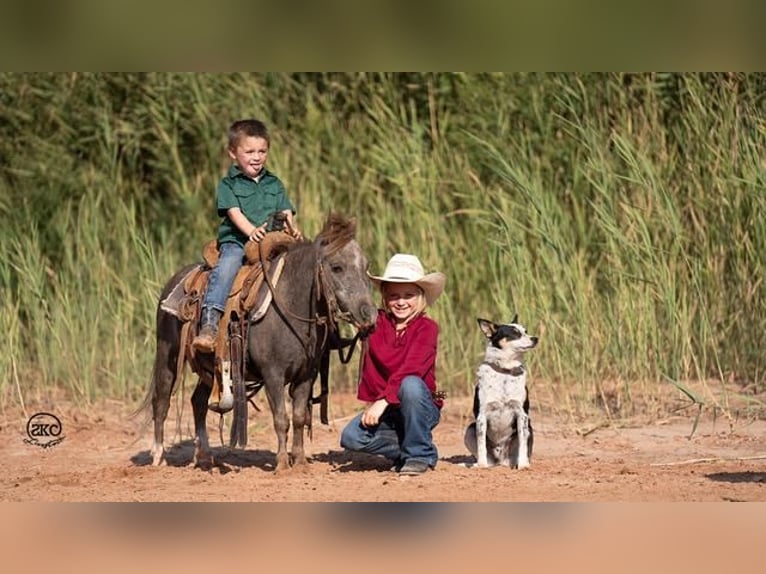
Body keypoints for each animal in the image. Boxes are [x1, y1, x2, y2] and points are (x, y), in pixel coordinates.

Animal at [462, 318, 540, 470]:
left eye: (525, 331)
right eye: (515, 333)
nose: (535, 338)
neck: (505, 371)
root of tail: (501, 461)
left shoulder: (522, 415)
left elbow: (522, 444)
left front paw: (523, 465)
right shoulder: (482, 416)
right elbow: (481, 445)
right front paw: (481, 466)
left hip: (529, 428)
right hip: (470, 429)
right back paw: (476, 464)